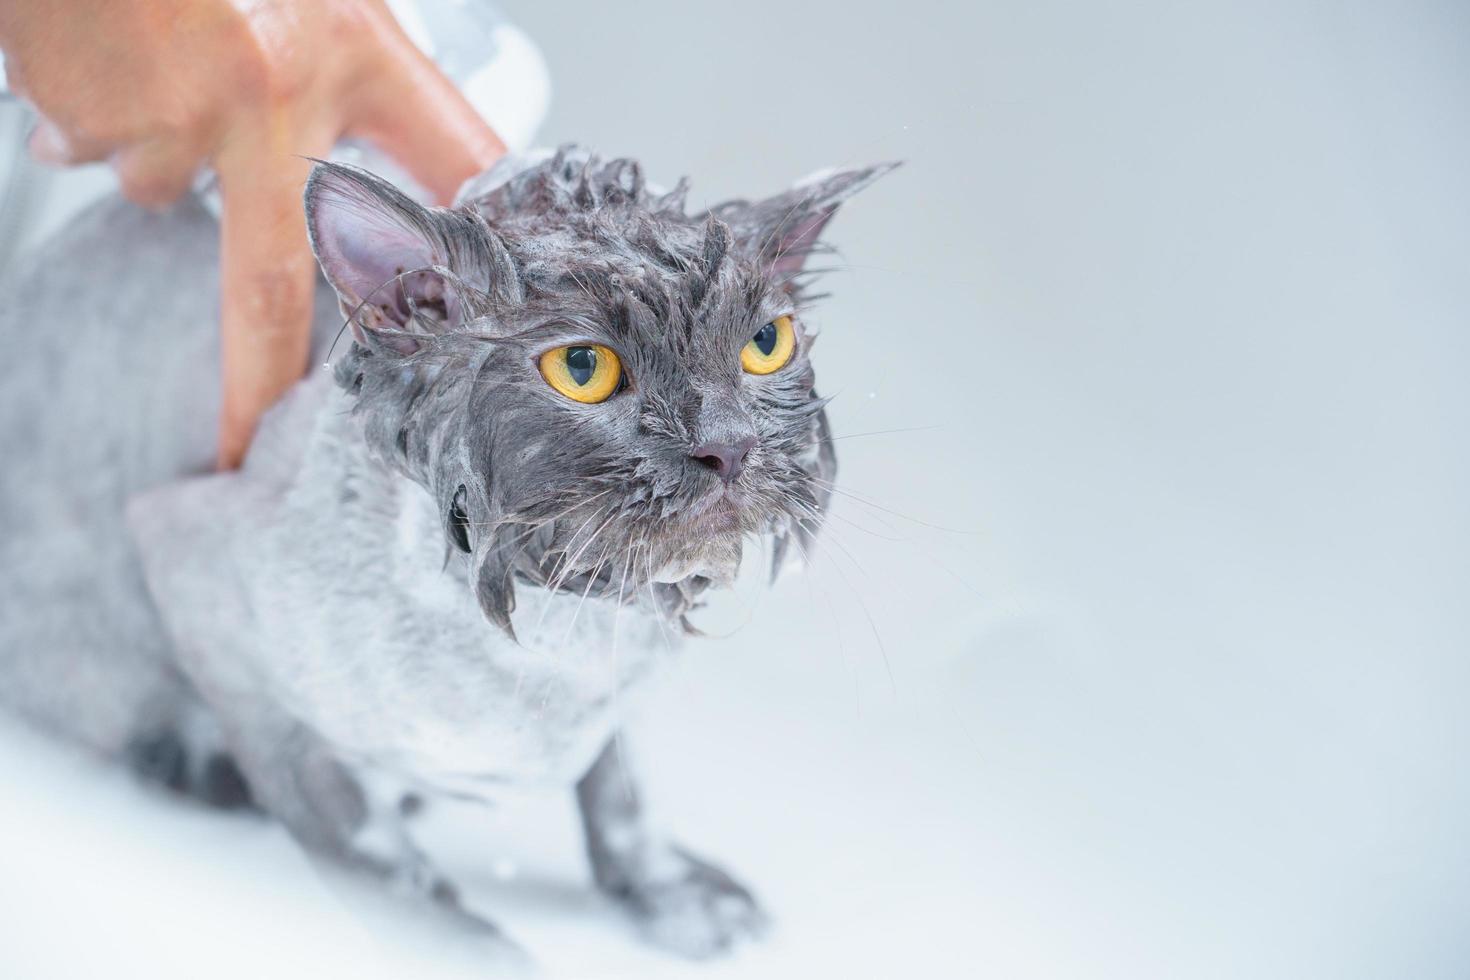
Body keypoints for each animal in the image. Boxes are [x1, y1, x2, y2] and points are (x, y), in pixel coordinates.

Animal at [0, 149, 887, 963]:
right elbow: (369, 852)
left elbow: (620, 792)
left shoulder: (611, 673)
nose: (729, 446)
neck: (553, 615)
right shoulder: (199, 583)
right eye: (583, 368)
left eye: (766, 344)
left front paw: (667, 890)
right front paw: (462, 951)